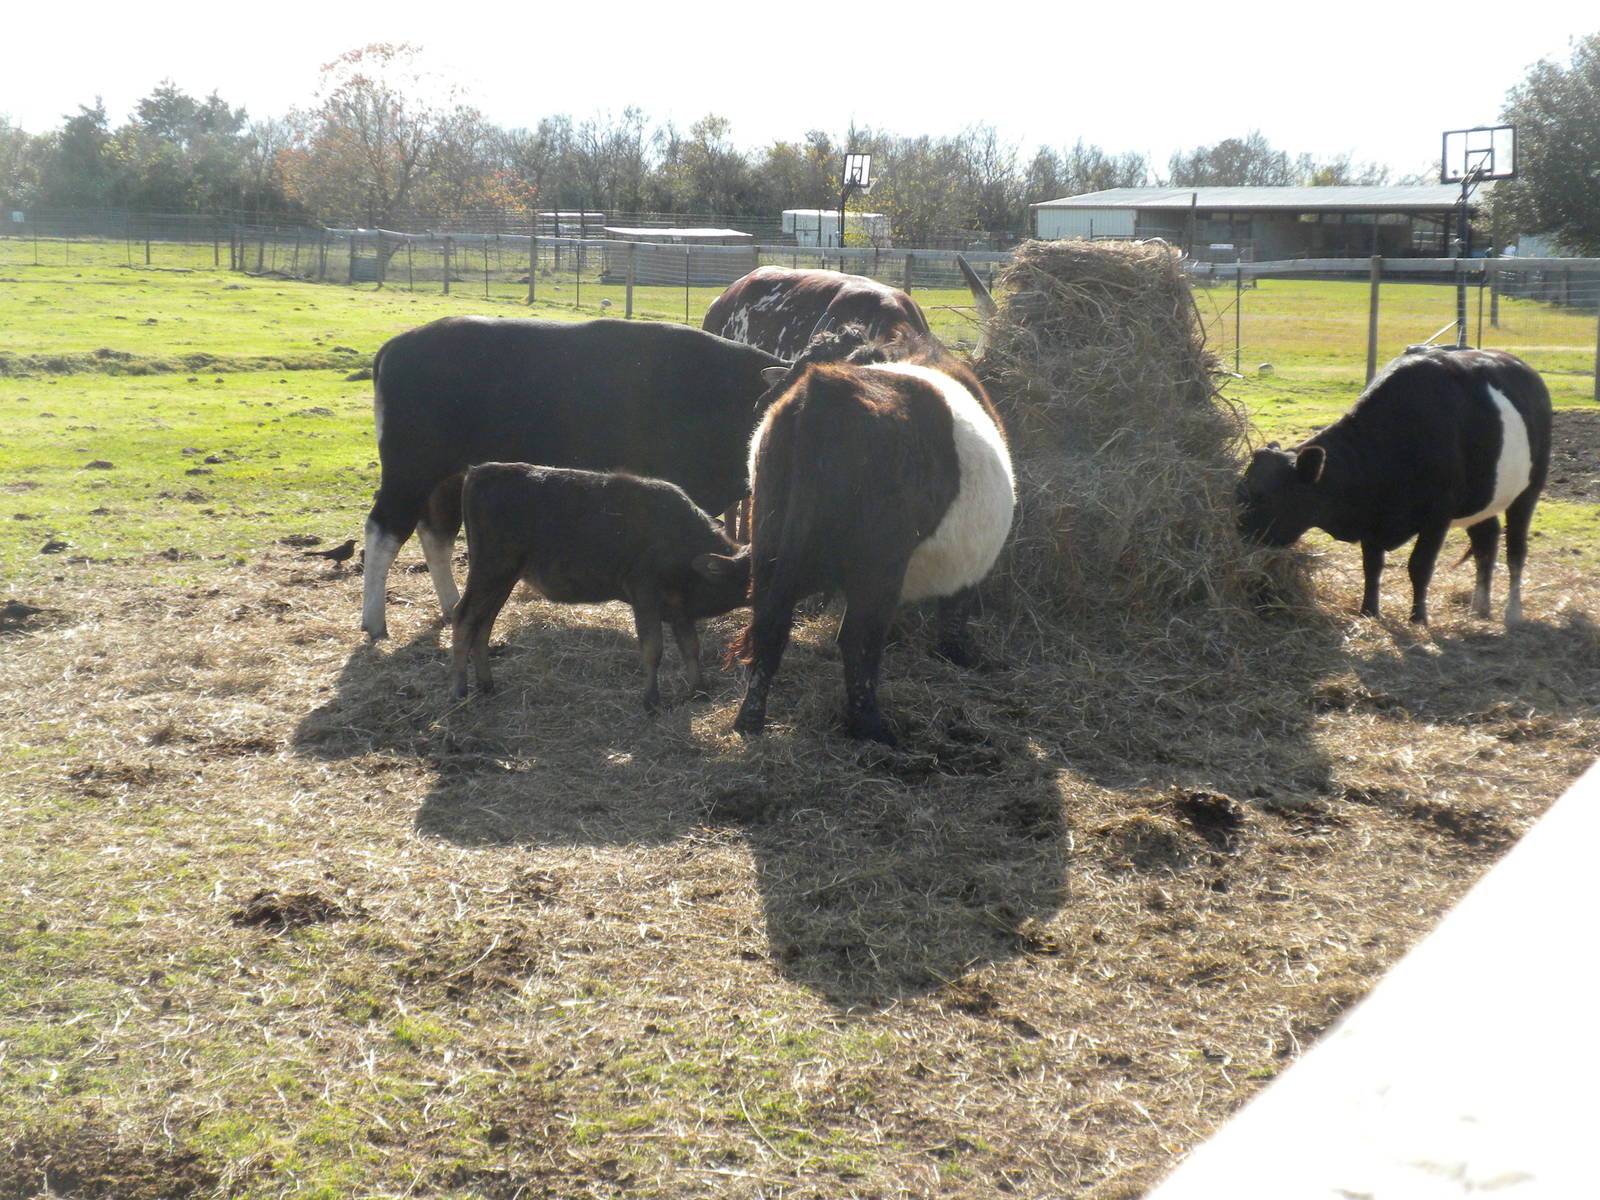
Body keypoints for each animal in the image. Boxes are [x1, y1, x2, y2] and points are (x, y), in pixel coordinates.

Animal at [359, 316, 783, 642]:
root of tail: (396, 347)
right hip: (409, 470)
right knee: (384, 530)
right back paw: (375, 622)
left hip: (446, 477)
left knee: (436, 535)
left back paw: (449, 606)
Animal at [450, 463, 752, 710]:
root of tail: (479, 472)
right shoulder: (644, 596)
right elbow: (653, 650)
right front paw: (651, 700)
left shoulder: (680, 609)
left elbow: (691, 647)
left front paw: (698, 691)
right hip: (490, 572)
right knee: (464, 617)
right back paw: (460, 691)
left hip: (502, 579)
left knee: (484, 622)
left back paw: (486, 685)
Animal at [709, 325, 1016, 745]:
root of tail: (827, 392)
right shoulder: (966, 570)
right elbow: (953, 617)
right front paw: (957, 655)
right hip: (879, 566)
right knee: (858, 638)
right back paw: (871, 728)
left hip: (769, 543)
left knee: (769, 625)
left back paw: (749, 721)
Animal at [1235, 347, 1551, 626]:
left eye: (1261, 496)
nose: (1238, 536)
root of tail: (1525, 370)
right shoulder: (1373, 520)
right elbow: (1372, 567)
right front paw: (1368, 611)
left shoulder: (1437, 515)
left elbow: (1419, 565)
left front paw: (1418, 618)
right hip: (1483, 499)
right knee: (1486, 543)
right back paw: (1480, 608)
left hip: (1528, 491)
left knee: (1515, 550)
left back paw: (1512, 612)